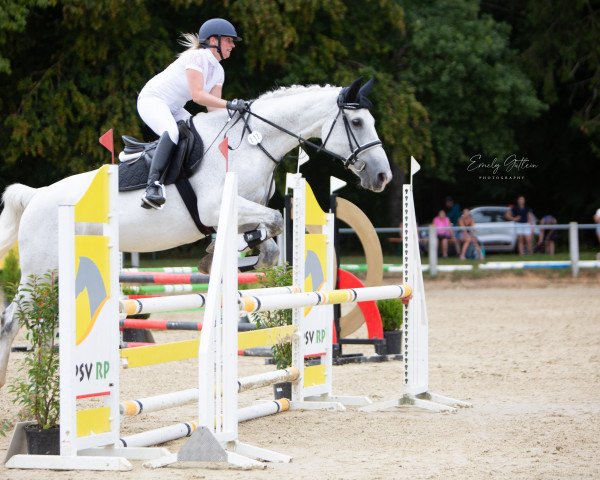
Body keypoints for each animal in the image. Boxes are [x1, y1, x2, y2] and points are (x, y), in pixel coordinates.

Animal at [0, 79, 392, 386]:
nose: (382, 176)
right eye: (357, 121)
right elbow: (274, 222)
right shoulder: (216, 207)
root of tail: (36, 195)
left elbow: (269, 237)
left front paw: (236, 257)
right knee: (13, 319)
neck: (253, 143)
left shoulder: (240, 213)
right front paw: (225, 256)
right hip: (40, 271)